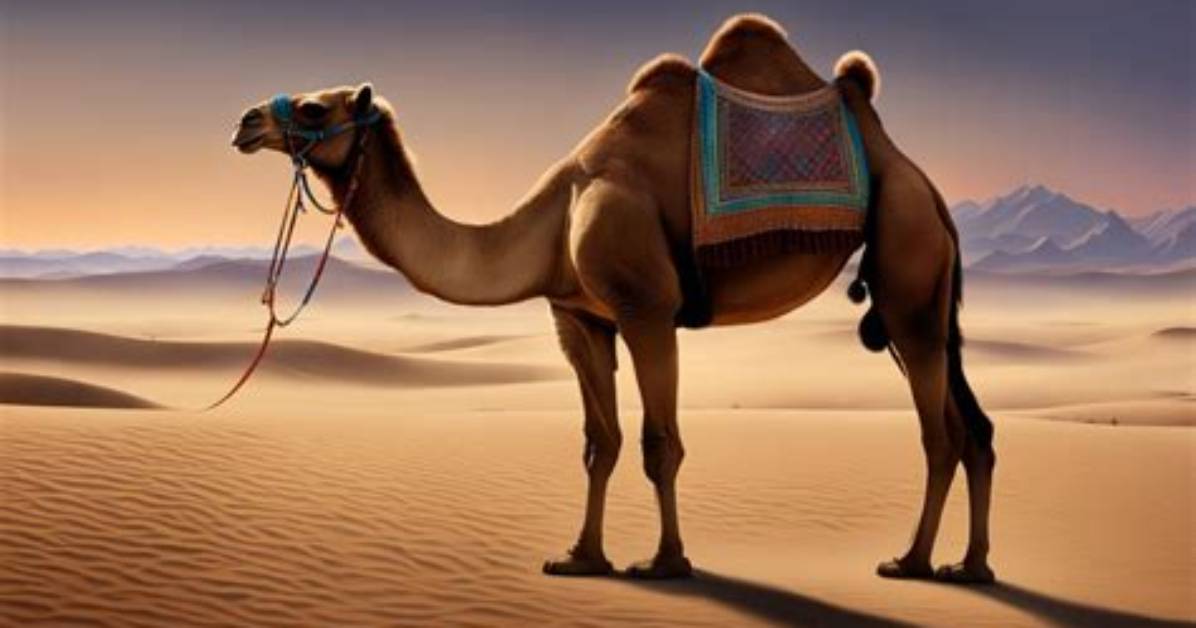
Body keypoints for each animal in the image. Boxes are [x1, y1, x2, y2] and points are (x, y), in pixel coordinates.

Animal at [231, 14, 996, 584]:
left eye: (313, 106)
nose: (244, 121)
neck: (553, 220)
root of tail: (921, 179)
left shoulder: (644, 308)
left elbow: (661, 443)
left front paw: (665, 562)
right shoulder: (579, 317)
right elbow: (600, 443)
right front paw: (580, 557)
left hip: (906, 246)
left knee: (938, 432)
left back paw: (911, 561)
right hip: (926, 286)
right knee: (974, 427)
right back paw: (969, 567)